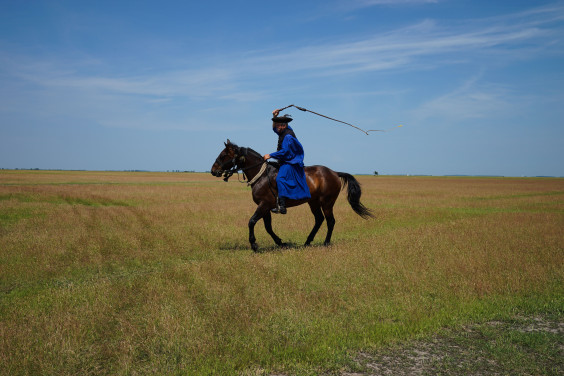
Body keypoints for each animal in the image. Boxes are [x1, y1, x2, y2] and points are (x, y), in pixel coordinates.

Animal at [209, 140, 372, 251]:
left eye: (223, 155)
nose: (213, 170)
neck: (262, 176)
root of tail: (334, 172)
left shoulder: (264, 205)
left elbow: (252, 221)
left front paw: (254, 244)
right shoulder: (266, 207)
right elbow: (268, 227)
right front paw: (281, 242)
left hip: (327, 203)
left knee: (330, 221)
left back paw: (326, 243)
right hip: (313, 202)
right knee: (319, 219)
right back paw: (307, 241)